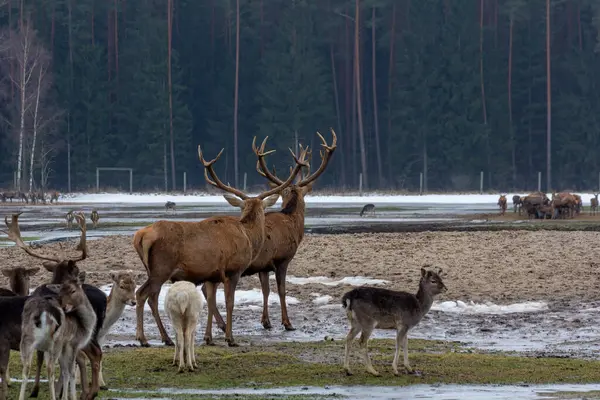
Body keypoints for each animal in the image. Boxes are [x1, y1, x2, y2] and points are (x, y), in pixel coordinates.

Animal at [133, 138, 308, 346]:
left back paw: (162, 338)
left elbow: (210, 302)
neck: (249, 236)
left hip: (152, 269)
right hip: (161, 267)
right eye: (263, 212)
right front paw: (230, 338)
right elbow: (229, 302)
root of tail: (140, 236)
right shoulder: (233, 270)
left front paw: (209, 337)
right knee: (143, 294)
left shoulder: (212, 275)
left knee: (150, 296)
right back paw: (146, 338)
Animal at [198, 128, 336, 332]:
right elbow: (281, 290)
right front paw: (287, 322)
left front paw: (266, 321)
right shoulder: (283, 258)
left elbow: (265, 290)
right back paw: (223, 325)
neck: (293, 223)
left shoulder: (263, 265)